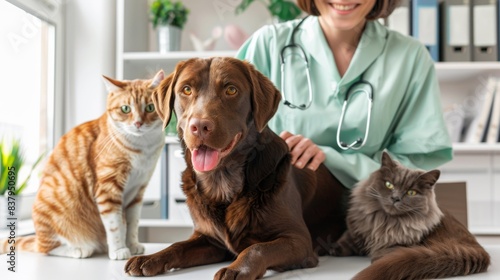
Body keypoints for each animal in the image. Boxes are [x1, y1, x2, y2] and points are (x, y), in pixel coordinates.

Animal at [0, 71, 164, 260]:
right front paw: (118, 250)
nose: (138, 123)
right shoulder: (108, 188)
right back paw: (78, 249)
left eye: (150, 108)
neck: (143, 147)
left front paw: (132, 244)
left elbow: (133, 223)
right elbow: (114, 225)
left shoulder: (138, 191)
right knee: (45, 248)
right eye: (125, 109)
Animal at [125, 57, 348, 280]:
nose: (199, 126)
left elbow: (257, 248)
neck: (222, 181)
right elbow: (177, 246)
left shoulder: (298, 240)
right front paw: (149, 258)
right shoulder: (211, 240)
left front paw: (237, 269)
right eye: (186, 89)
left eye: (231, 90)